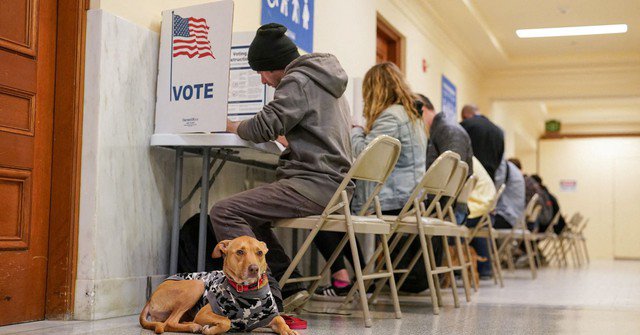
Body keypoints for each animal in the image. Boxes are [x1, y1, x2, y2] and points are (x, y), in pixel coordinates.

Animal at [139, 236, 296, 335]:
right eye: (240, 252)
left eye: (259, 253)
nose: (254, 269)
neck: (247, 291)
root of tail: (151, 296)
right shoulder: (204, 313)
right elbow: (226, 321)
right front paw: (210, 329)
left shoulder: (271, 316)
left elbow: (282, 321)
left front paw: (289, 330)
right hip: (196, 285)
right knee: (169, 323)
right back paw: (194, 326)